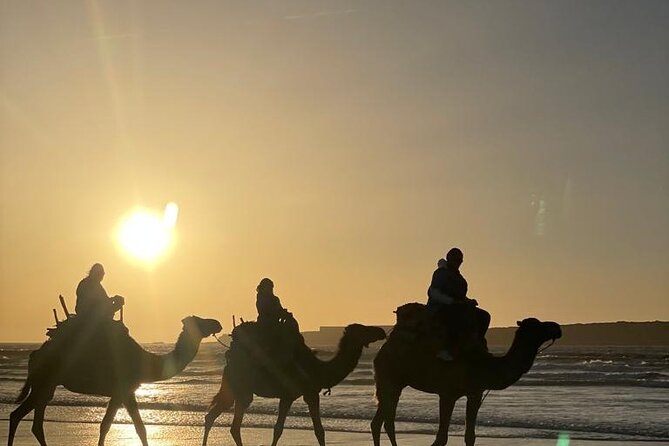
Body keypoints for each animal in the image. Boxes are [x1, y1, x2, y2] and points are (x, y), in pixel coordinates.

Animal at [7, 316, 222, 446]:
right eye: (200, 321)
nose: (217, 323)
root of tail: (34, 355)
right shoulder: (121, 390)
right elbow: (110, 425)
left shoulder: (127, 391)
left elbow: (137, 428)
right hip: (44, 382)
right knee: (23, 418)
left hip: (46, 385)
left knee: (28, 420)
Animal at [202, 322, 386, 444]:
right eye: (363, 329)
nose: (381, 331)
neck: (319, 369)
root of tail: (228, 364)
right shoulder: (304, 393)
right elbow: (309, 430)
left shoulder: (295, 395)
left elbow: (290, 429)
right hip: (242, 390)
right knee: (230, 423)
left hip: (235, 390)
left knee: (216, 418)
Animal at [368, 304, 560, 446]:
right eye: (537, 326)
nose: (557, 327)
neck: (484, 365)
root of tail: (382, 350)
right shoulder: (447, 393)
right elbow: (441, 438)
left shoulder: (475, 393)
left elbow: (470, 437)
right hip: (390, 380)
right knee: (383, 421)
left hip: (394, 382)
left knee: (383, 421)